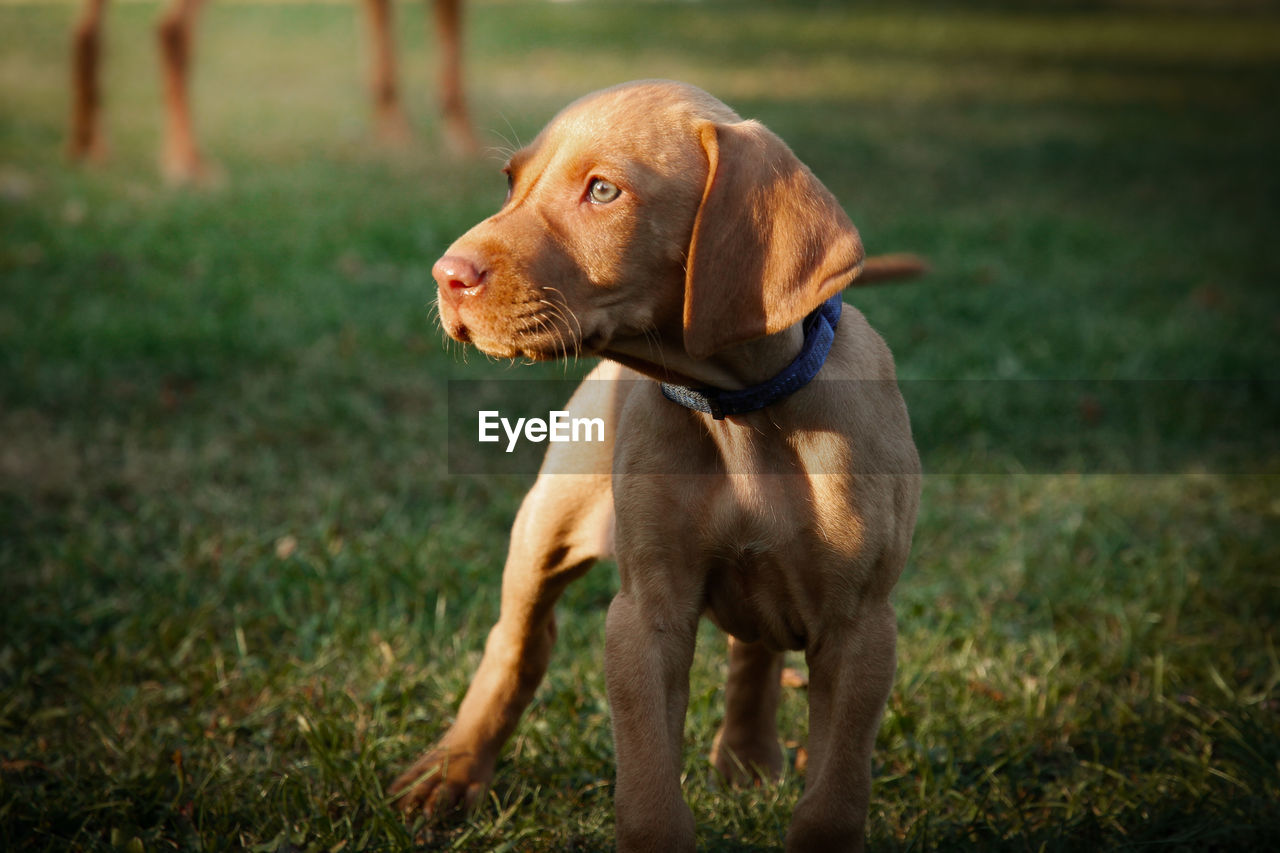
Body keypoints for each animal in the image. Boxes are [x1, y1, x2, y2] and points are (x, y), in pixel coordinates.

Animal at [391, 81, 921, 850]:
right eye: (511, 182)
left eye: (604, 190)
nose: (446, 276)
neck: (738, 409)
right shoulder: (646, 616)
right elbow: (648, 793)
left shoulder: (861, 627)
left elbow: (833, 799)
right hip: (546, 524)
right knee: (519, 643)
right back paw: (454, 771)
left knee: (753, 646)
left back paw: (747, 754)